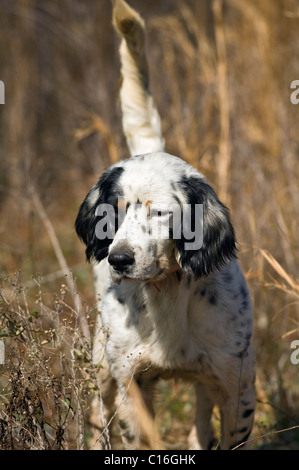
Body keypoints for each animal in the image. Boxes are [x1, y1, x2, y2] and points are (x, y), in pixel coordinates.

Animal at [75, 0, 255, 450]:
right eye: (112, 213)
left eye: (159, 213)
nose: (119, 260)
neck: (168, 293)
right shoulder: (130, 384)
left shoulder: (236, 386)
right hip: (102, 367)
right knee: (97, 414)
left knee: (200, 422)